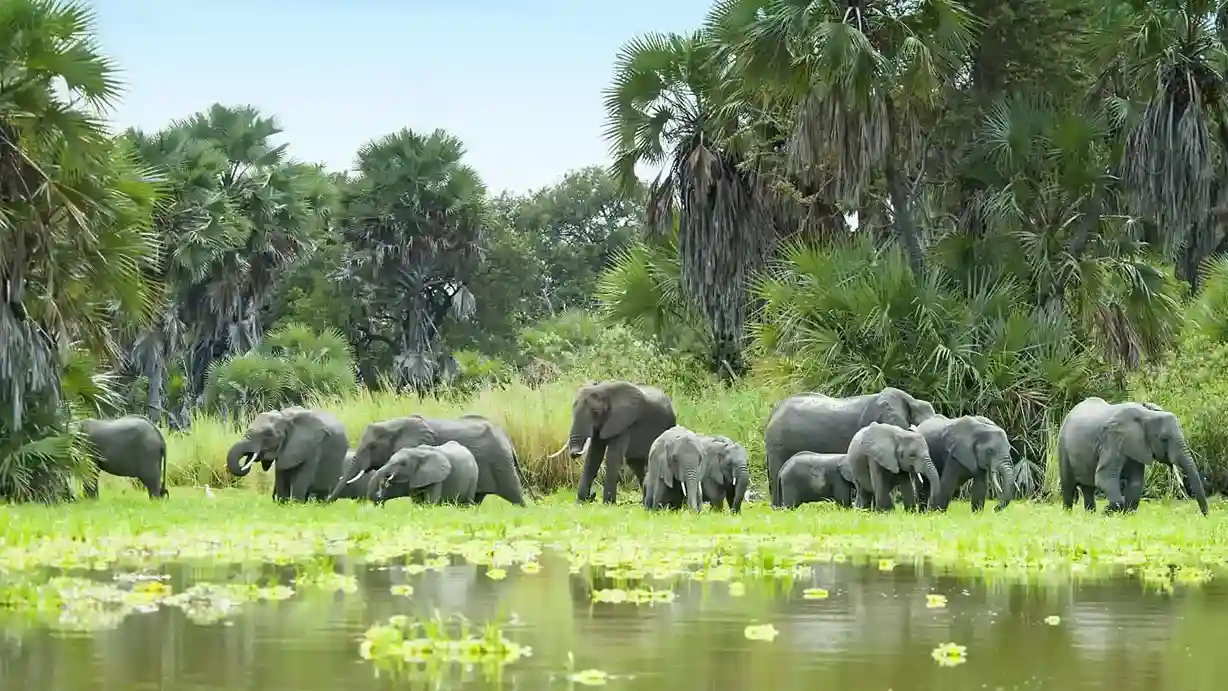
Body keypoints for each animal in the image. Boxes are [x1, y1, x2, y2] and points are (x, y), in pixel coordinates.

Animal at [326, 414, 528, 506]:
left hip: (501, 463)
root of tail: (507, 438)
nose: (327, 501)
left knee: (515, 495)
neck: (396, 424)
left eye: (372, 447)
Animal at [549, 380, 677, 505]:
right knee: (636, 464)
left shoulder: (623, 422)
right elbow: (593, 457)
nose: (593, 495)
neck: (604, 390)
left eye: (596, 412)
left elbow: (612, 457)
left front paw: (608, 504)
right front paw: (581, 502)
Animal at [1057, 397, 1208, 516]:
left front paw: (1126, 514)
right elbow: (1104, 477)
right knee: (1068, 485)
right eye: (1164, 439)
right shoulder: (1112, 440)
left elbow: (1136, 482)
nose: (1205, 516)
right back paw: (1068, 514)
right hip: (1062, 444)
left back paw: (1090, 515)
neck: (1147, 415)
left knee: (1088, 488)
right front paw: (1108, 511)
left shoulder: (1137, 447)